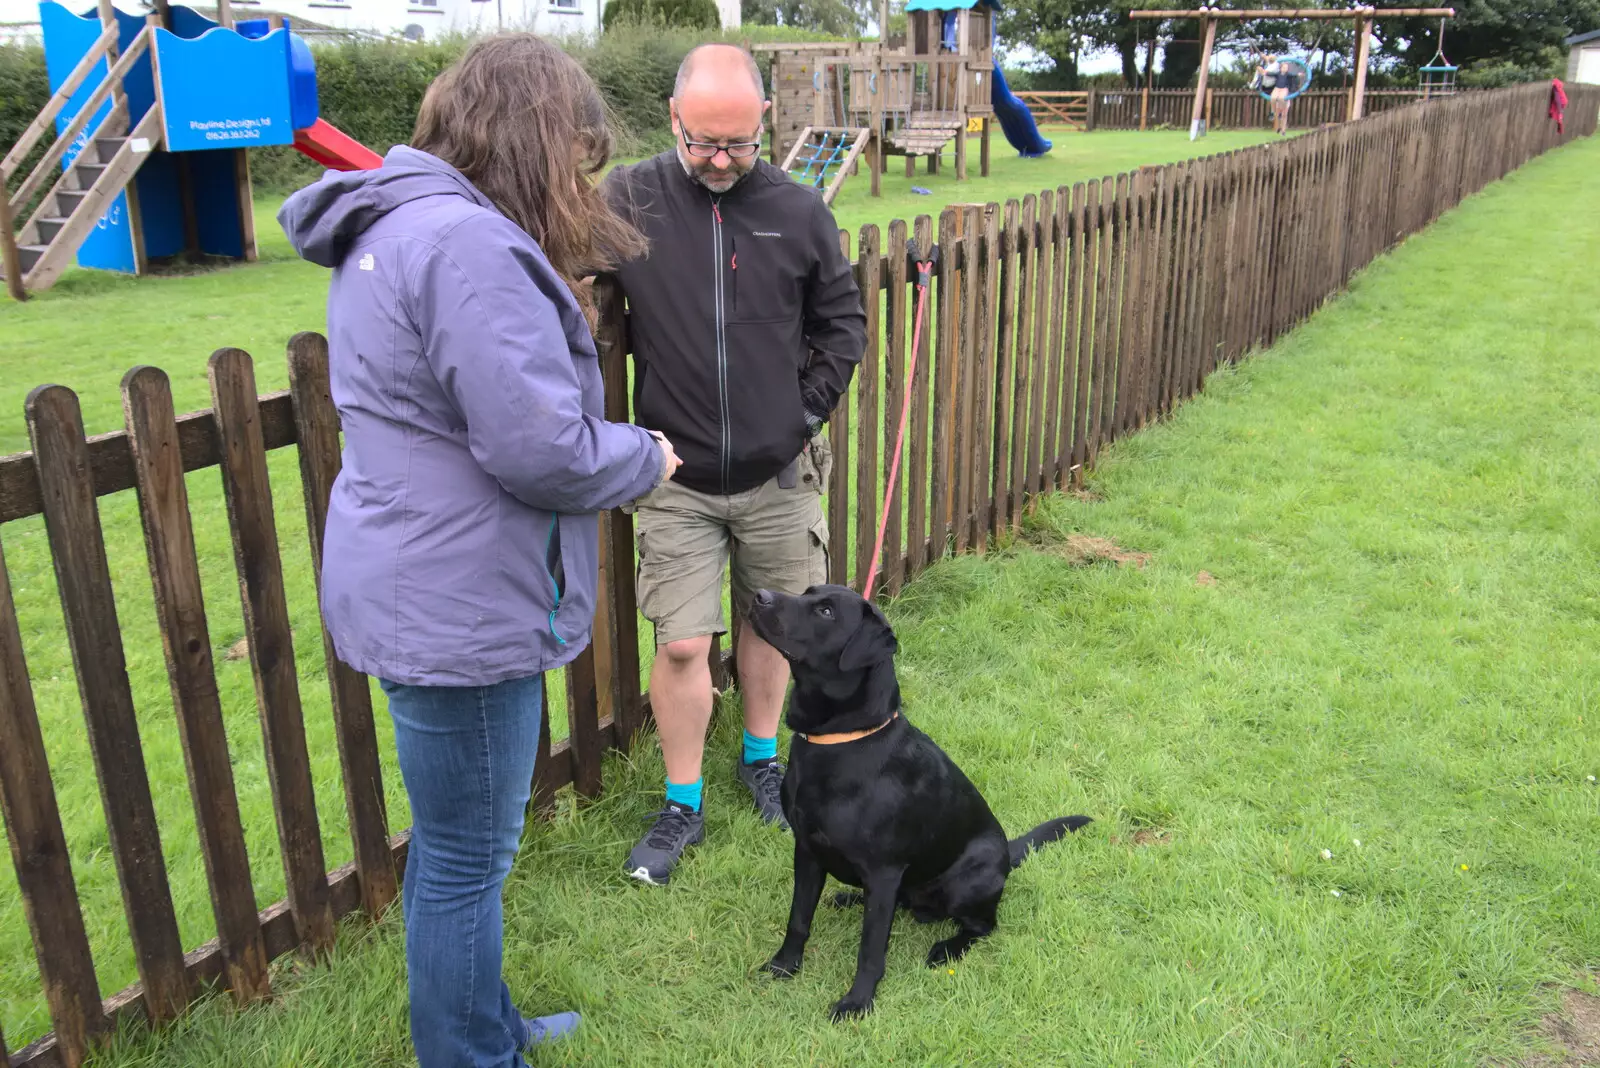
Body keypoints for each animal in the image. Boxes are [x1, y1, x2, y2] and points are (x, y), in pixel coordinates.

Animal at [748, 585, 1088, 1016]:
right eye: (809, 592)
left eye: (825, 611)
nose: (759, 595)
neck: (842, 742)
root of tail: (1008, 852)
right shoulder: (807, 852)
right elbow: (798, 919)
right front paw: (784, 965)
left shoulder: (883, 872)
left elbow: (871, 948)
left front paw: (857, 1002)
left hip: (968, 881)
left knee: (983, 926)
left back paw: (947, 949)